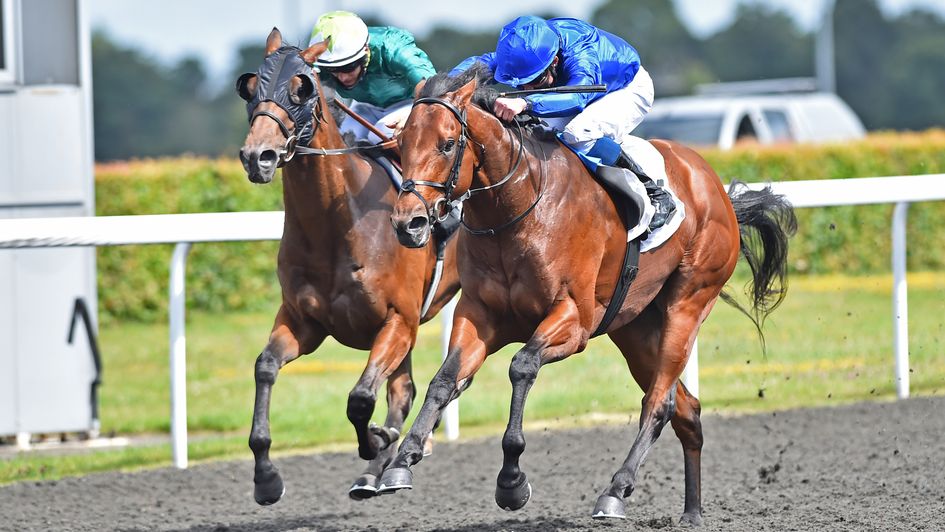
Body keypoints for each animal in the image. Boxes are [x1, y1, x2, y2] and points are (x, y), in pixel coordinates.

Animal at [234, 30, 460, 508]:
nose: (258, 156)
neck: (338, 226)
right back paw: (377, 473)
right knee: (402, 391)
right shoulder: (303, 321)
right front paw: (266, 478)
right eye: (251, 88)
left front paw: (375, 440)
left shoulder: (397, 320)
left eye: (301, 88)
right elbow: (265, 367)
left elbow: (359, 398)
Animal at [380, 63, 792, 524]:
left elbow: (522, 366)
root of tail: (713, 184)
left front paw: (512, 482)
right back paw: (692, 513)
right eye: (400, 144)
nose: (408, 224)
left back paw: (615, 492)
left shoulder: (573, 320)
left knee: (659, 403)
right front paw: (401, 461)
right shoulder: (480, 314)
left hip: (687, 304)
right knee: (685, 407)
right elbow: (445, 379)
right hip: (635, 330)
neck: (517, 209)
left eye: (448, 144)